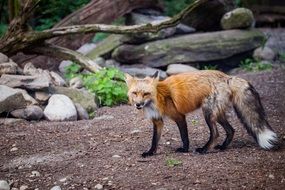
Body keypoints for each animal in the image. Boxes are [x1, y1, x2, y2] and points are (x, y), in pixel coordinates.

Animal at [124, 70, 278, 157]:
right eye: (135, 93)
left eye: (146, 93)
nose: (138, 104)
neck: (158, 97)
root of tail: (227, 77)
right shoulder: (157, 121)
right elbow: (154, 140)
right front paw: (150, 153)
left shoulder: (179, 116)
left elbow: (184, 136)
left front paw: (185, 149)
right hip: (217, 114)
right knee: (231, 130)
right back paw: (223, 147)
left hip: (208, 113)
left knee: (215, 133)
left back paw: (204, 150)